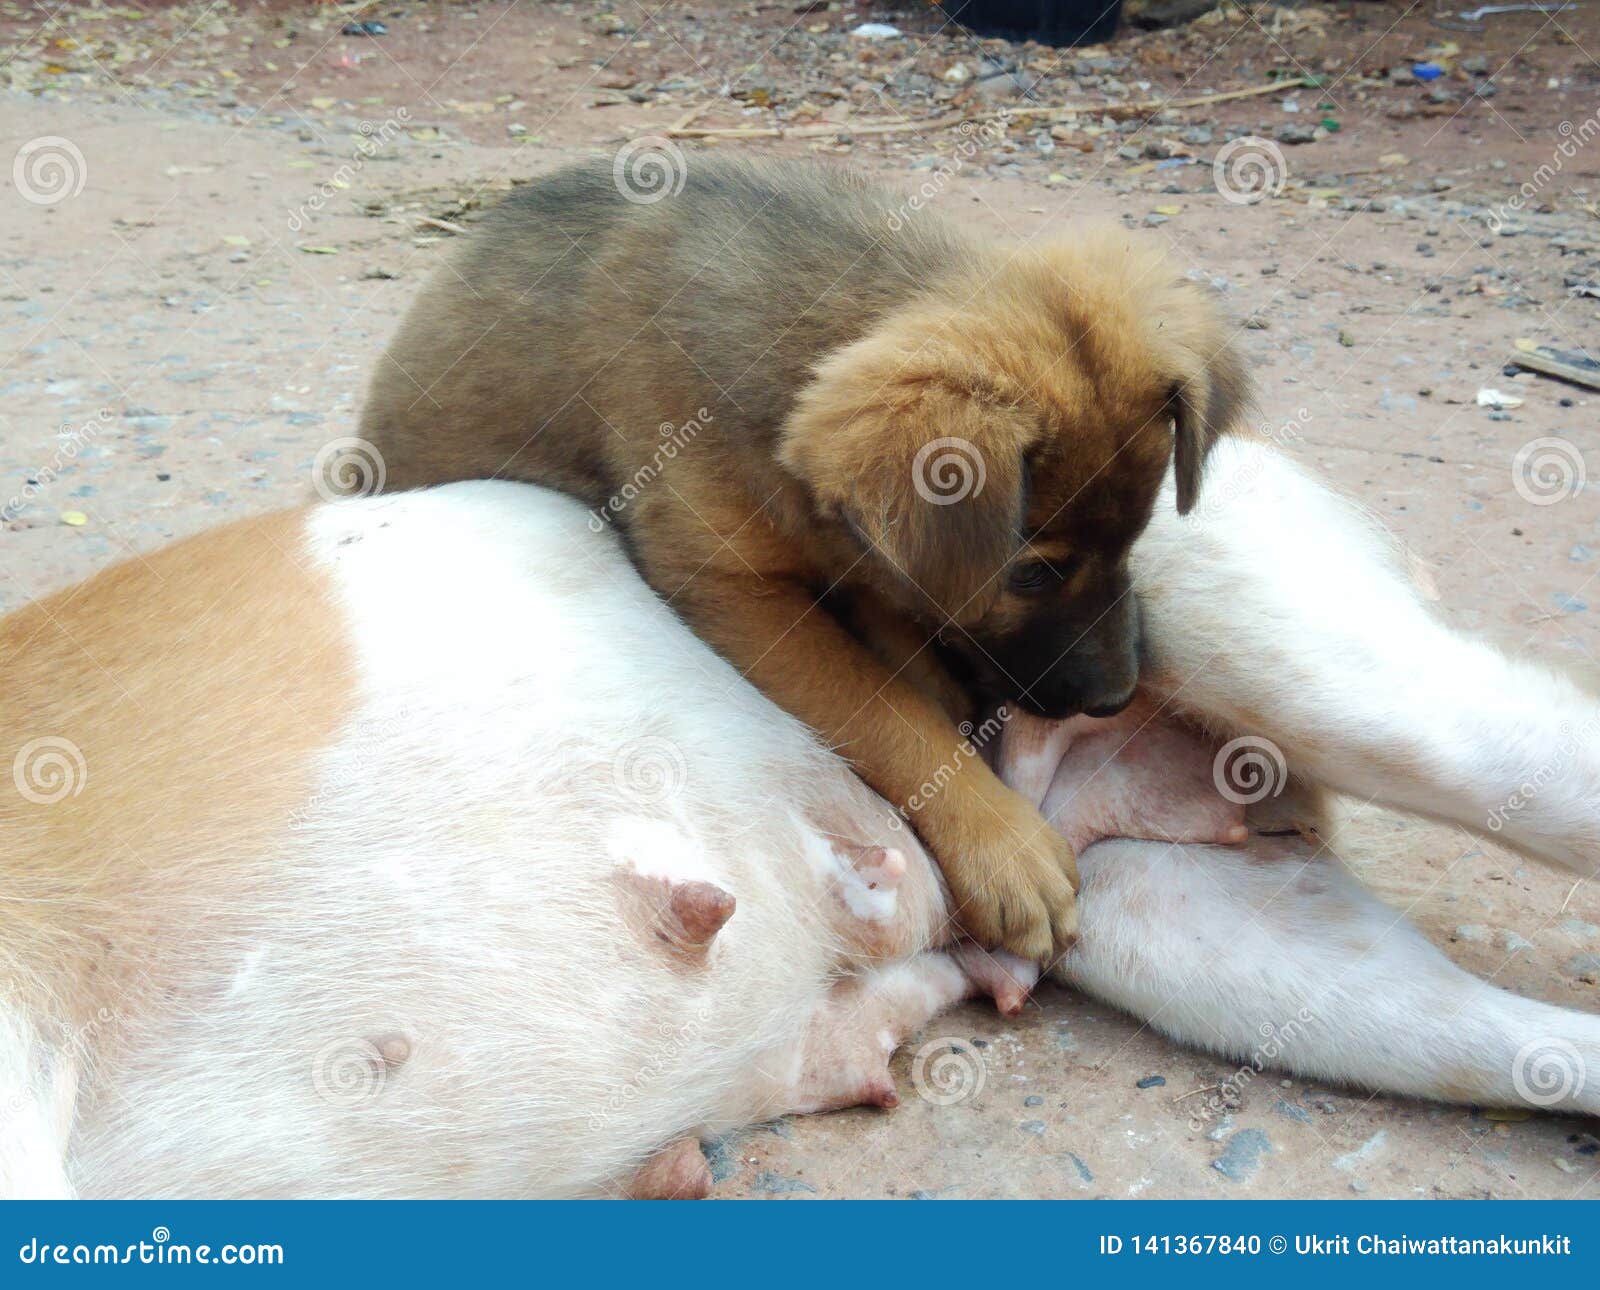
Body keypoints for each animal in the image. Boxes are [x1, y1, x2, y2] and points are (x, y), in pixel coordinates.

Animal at [363, 159, 1248, 960]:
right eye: (1030, 574)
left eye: (1134, 541)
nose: (1117, 697)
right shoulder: (734, 590)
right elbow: (888, 710)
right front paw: (1000, 840)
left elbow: (897, 611)